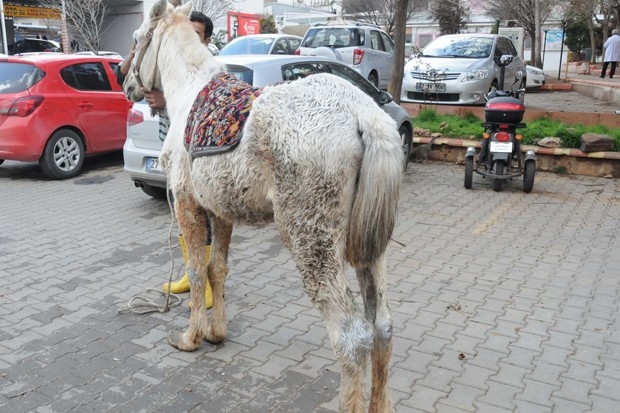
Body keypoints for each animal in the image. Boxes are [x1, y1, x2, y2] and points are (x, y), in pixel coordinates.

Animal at [124, 1, 404, 410]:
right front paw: (217, 332)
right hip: (370, 247)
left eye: (137, 37)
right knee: (382, 325)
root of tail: (364, 115)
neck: (188, 92)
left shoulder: (188, 206)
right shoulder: (220, 212)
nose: (123, 79)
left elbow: (196, 271)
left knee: (352, 338)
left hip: (311, 241)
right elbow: (218, 269)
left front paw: (191, 337)